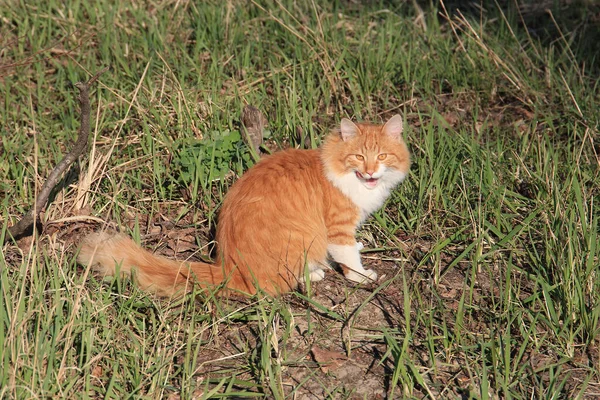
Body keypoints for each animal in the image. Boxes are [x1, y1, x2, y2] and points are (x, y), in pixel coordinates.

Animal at [77, 114, 410, 296]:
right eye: (358, 156)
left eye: (382, 156)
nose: (370, 171)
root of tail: (230, 269)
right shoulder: (338, 228)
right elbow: (348, 258)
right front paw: (362, 276)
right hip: (304, 240)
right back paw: (313, 274)